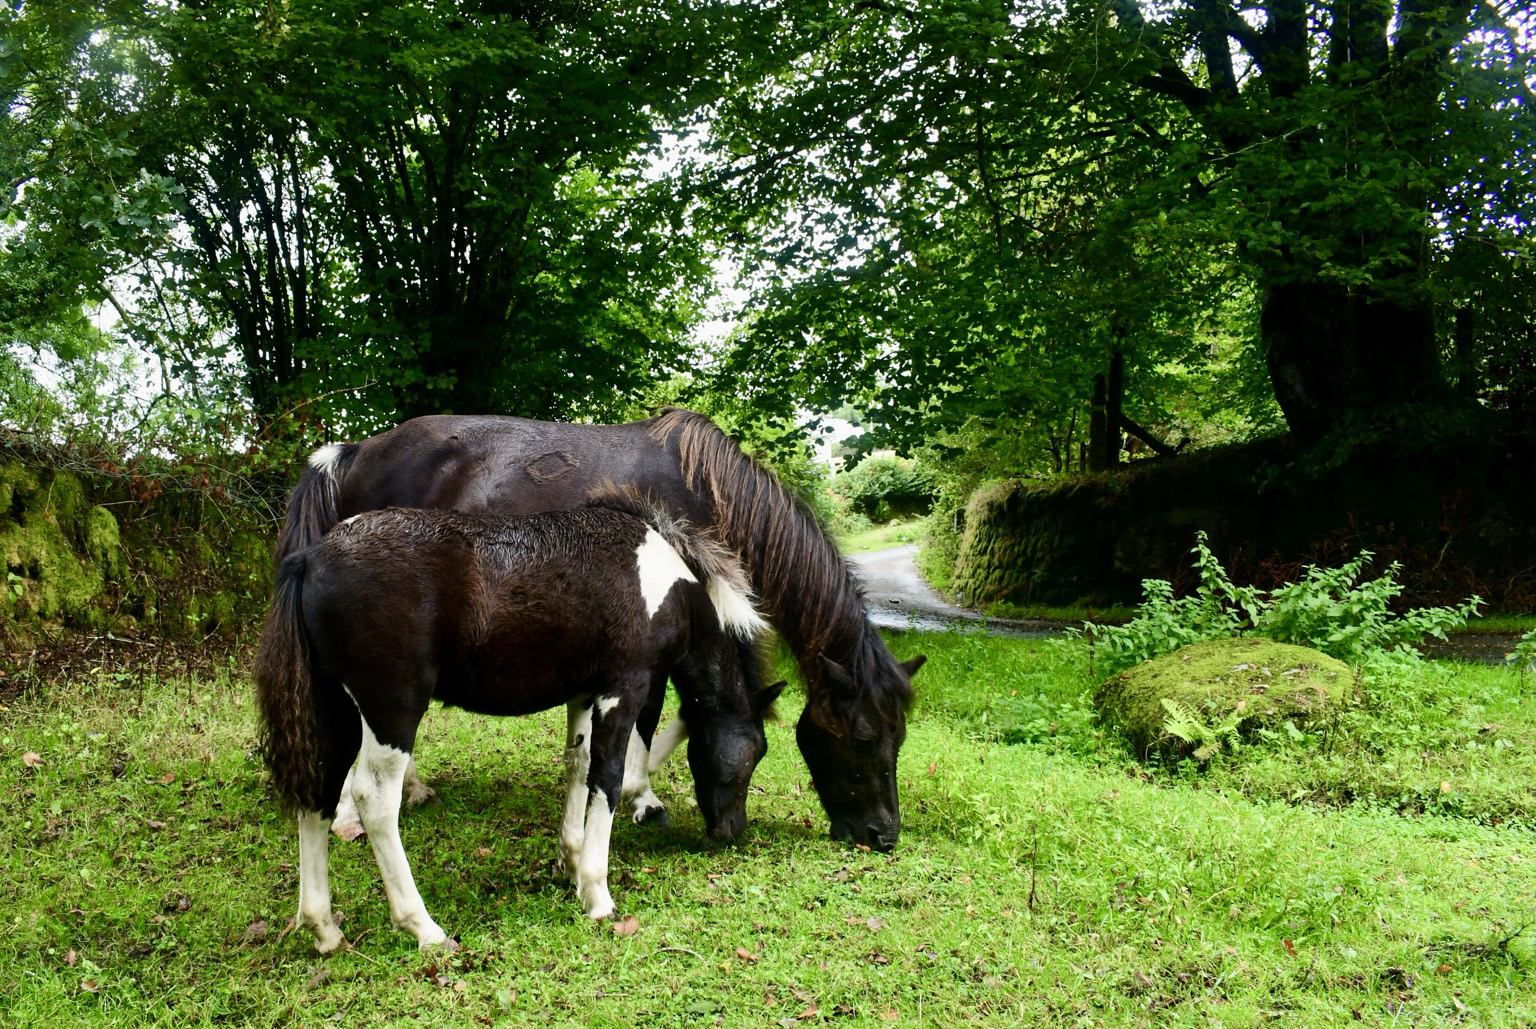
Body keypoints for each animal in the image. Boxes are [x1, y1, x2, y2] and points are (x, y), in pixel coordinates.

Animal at [254, 498, 783, 952]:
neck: (665, 583)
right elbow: (608, 778)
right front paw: (597, 894)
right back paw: (423, 927)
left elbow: (578, 765)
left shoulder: (584, 692)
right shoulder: (624, 687)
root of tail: (311, 557)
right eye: (754, 753)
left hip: (335, 709)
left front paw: (571, 864)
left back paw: (324, 929)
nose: (732, 832)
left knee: (318, 795)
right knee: (374, 800)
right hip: (392, 712)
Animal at [278, 409, 925, 851]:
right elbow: (651, 719)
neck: (699, 490)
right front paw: (642, 796)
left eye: (900, 739)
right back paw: (350, 815)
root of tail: (351, 451)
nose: (883, 835)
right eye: (863, 738)